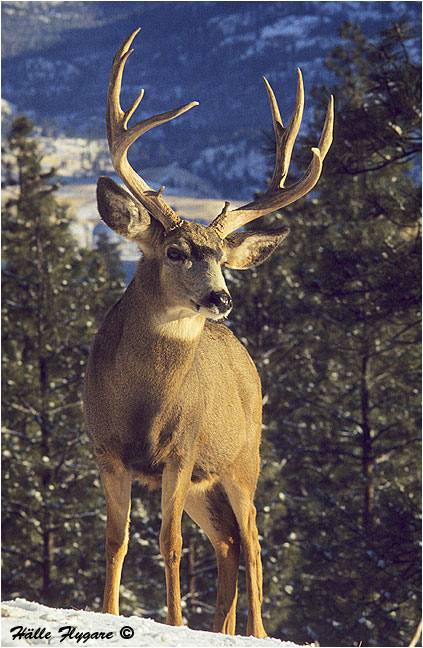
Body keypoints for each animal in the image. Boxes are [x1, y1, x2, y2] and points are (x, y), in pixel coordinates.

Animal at [83, 28, 333, 638]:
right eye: (176, 251)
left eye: (222, 258)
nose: (222, 297)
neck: (140, 405)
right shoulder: (105, 449)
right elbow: (116, 541)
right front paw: (107, 614)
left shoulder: (182, 449)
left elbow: (169, 543)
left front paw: (173, 622)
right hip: (207, 482)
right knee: (226, 543)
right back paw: (223, 628)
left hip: (243, 461)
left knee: (254, 541)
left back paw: (257, 633)